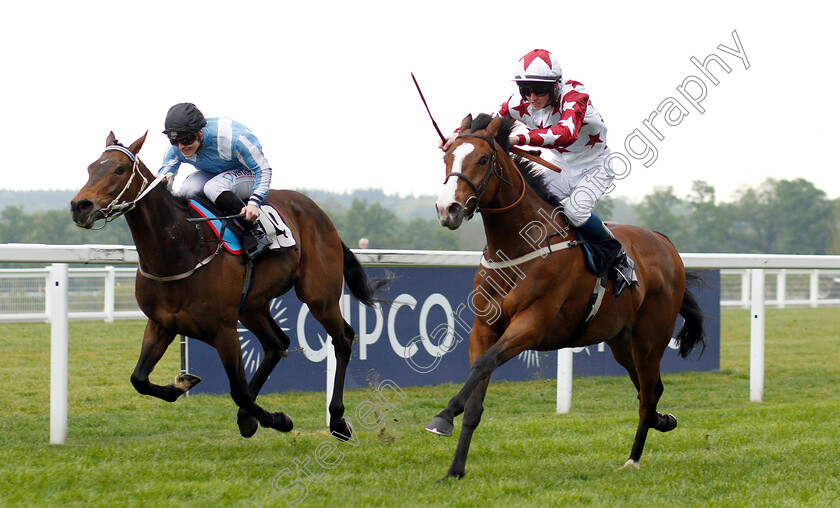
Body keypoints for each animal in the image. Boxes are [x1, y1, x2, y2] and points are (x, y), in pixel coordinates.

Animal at [70, 133, 386, 438]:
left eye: (119, 169)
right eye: (90, 168)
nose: (79, 206)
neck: (181, 247)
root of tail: (320, 214)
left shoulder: (224, 330)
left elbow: (239, 392)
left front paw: (280, 420)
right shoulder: (161, 323)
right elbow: (139, 379)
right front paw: (183, 384)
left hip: (319, 296)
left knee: (342, 338)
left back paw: (337, 420)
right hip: (252, 305)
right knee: (276, 344)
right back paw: (250, 416)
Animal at [424, 113, 704, 478]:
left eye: (483, 159)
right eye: (447, 157)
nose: (449, 208)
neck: (517, 246)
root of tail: (665, 243)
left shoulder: (532, 325)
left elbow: (484, 364)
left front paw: (443, 417)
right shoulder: (484, 328)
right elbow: (476, 395)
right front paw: (455, 469)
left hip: (650, 339)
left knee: (646, 394)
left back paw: (633, 458)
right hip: (620, 340)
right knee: (651, 389)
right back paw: (663, 420)